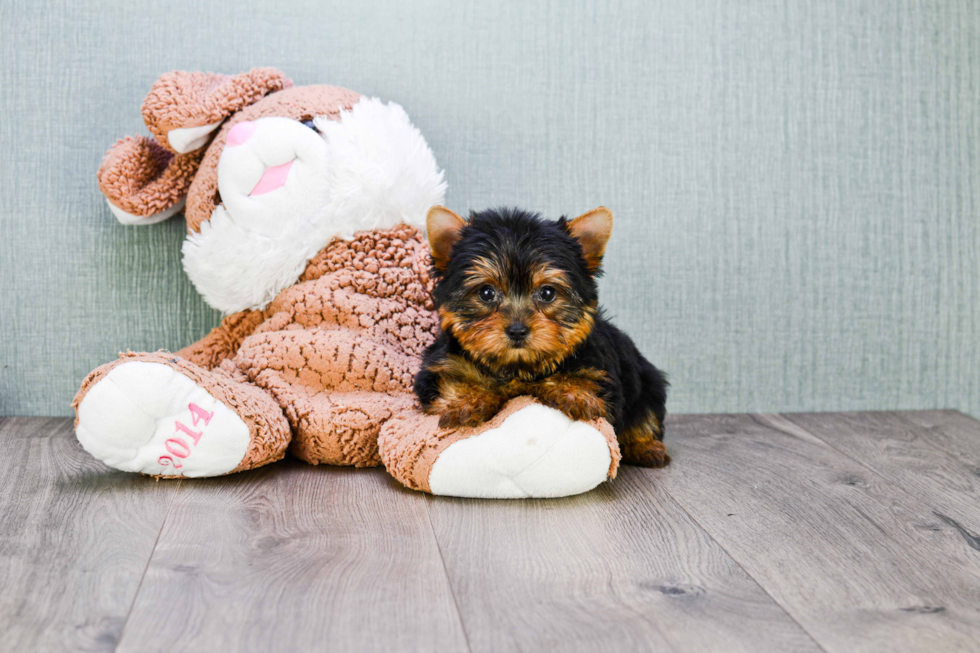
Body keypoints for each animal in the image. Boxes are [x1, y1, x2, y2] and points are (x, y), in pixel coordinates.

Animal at [414, 206, 672, 466]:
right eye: (486, 293)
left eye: (547, 293)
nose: (517, 330)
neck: (517, 367)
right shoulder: (442, 366)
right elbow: (455, 380)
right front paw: (467, 402)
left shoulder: (600, 371)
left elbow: (581, 378)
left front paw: (575, 394)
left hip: (648, 381)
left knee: (645, 414)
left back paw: (646, 447)